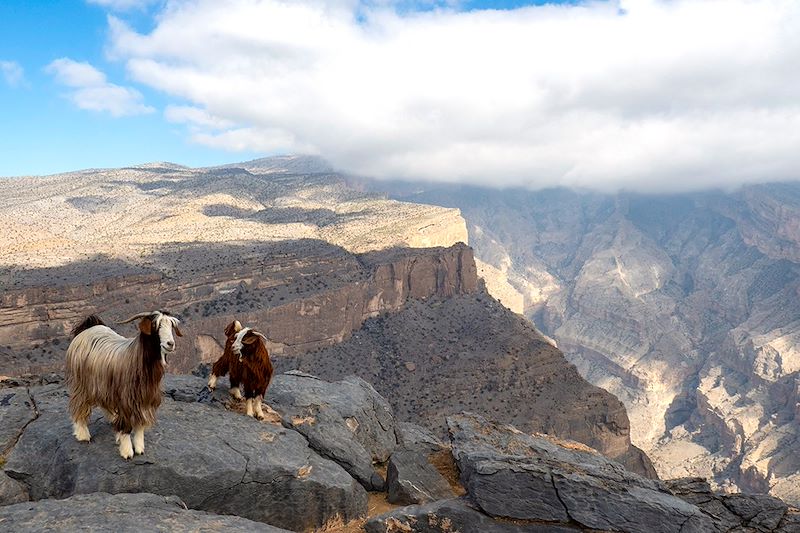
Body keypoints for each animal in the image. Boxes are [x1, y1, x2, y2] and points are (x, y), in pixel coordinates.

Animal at [65, 310, 183, 460]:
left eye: (171, 325)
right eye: (156, 326)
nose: (170, 344)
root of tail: (89, 327)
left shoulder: (145, 399)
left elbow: (140, 425)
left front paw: (139, 448)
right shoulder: (126, 400)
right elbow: (126, 426)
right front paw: (127, 451)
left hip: (104, 385)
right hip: (82, 383)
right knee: (79, 405)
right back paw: (83, 434)